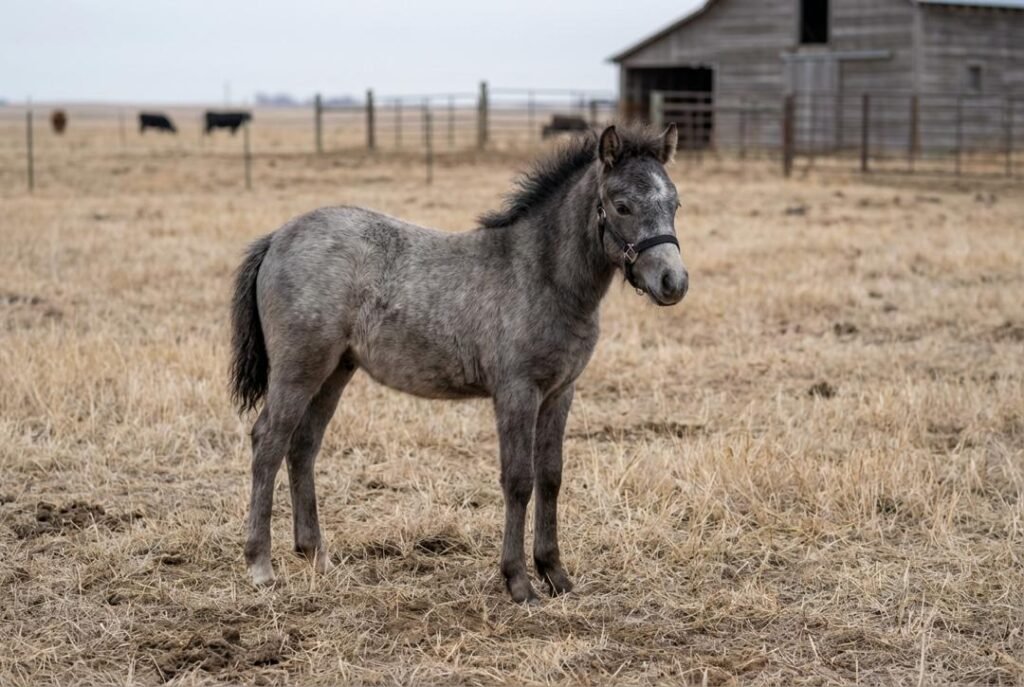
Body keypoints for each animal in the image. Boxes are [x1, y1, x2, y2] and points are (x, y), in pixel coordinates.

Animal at [229, 123, 689, 603]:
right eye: (621, 205)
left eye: (674, 203)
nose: (673, 282)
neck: (541, 275)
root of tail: (278, 237)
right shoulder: (516, 392)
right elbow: (518, 480)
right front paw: (519, 582)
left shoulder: (560, 392)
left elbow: (551, 476)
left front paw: (555, 574)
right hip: (299, 369)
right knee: (268, 441)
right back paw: (260, 564)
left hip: (335, 371)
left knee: (303, 446)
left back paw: (316, 555)